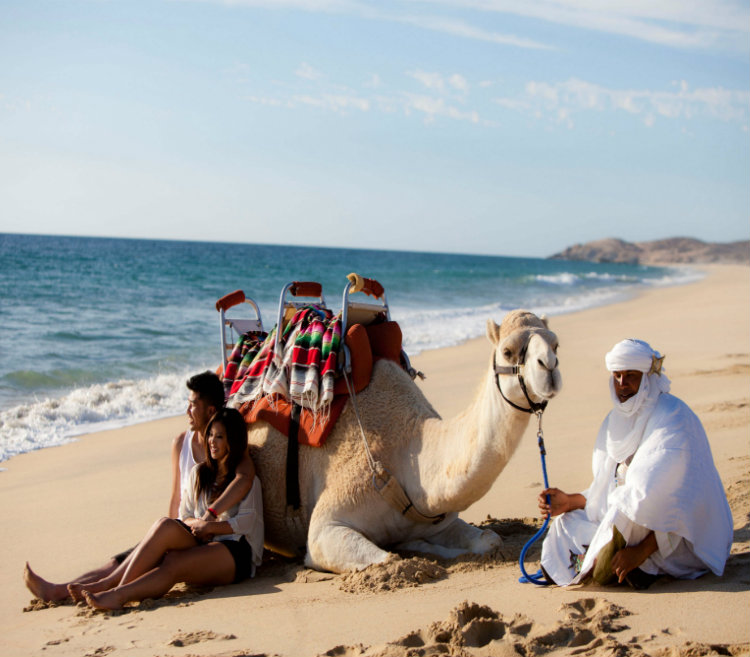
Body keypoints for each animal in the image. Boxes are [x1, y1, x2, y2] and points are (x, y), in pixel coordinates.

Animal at [248, 310, 564, 572]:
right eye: (508, 351)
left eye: (556, 345)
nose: (549, 367)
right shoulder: (327, 526)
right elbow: (386, 558)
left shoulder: (439, 520)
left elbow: (490, 539)